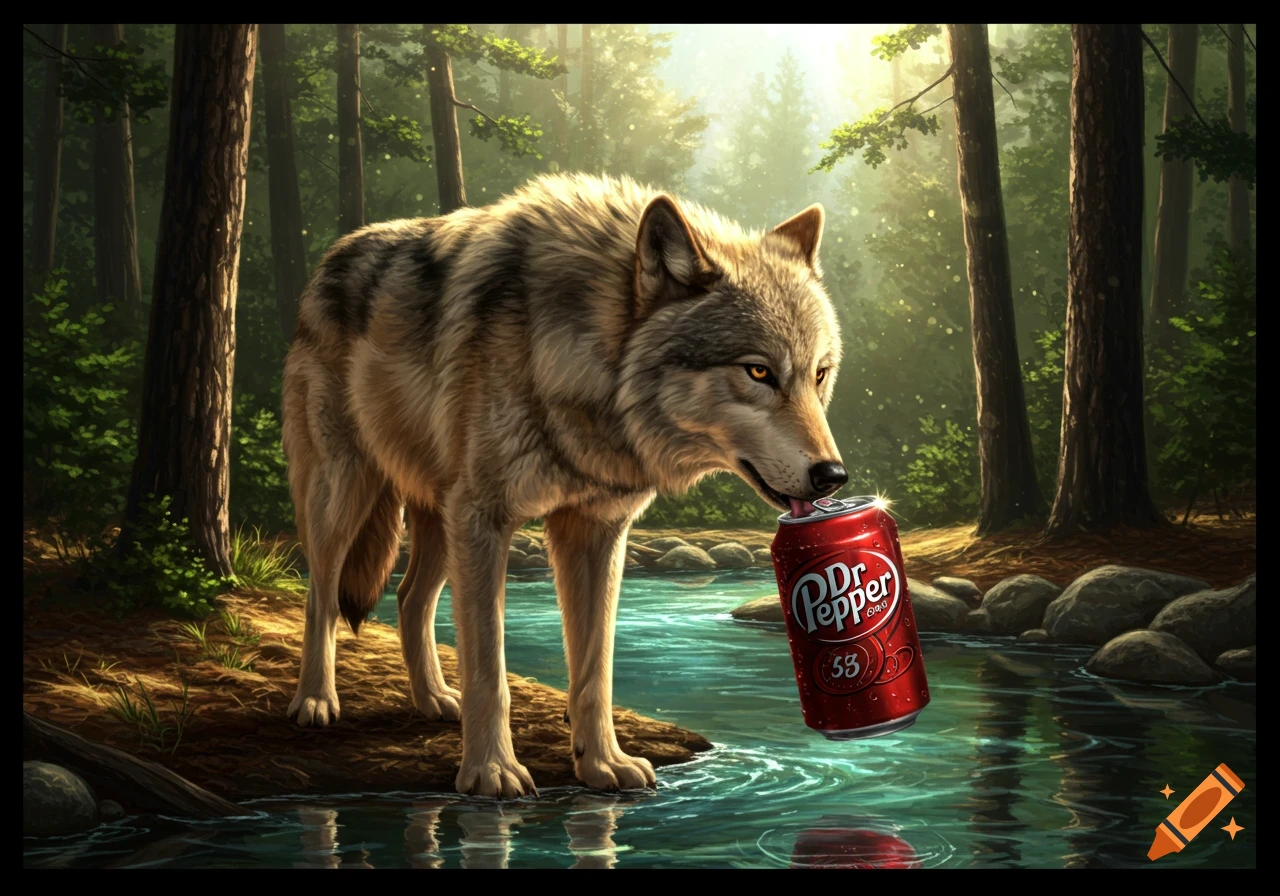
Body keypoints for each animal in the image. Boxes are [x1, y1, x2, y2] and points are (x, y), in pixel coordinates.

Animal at [281, 173, 847, 798]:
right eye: (759, 372)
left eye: (819, 374)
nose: (833, 475)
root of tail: (332, 256)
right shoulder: (484, 518)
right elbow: (488, 668)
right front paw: (491, 771)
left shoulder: (594, 529)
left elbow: (594, 669)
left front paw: (602, 764)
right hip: (346, 493)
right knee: (321, 593)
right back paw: (315, 701)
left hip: (437, 517)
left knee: (408, 599)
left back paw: (432, 700)